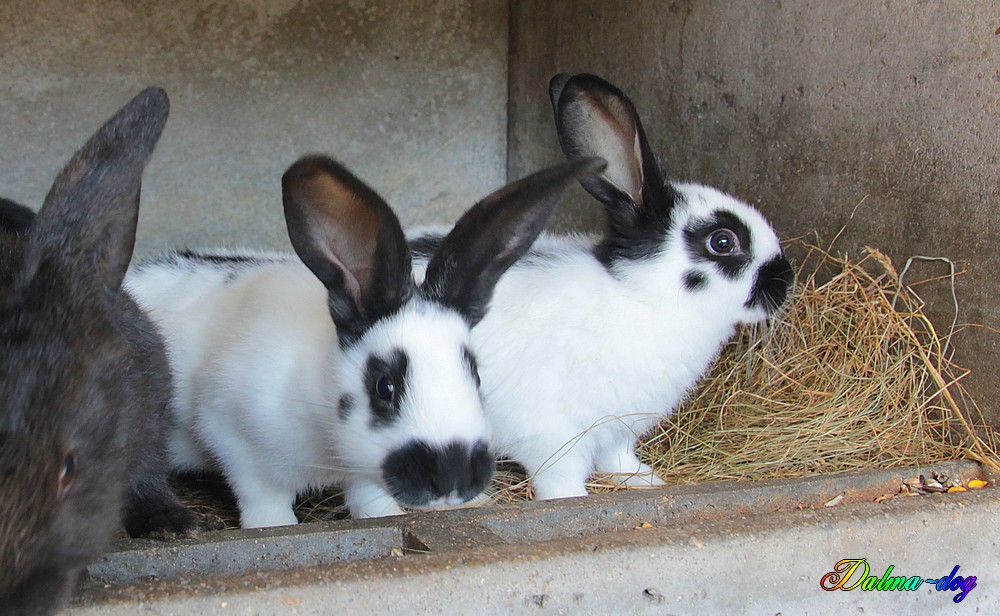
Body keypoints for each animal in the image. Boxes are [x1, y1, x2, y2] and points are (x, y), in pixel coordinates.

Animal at [408, 74, 796, 502]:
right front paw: (571, 499)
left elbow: (618, 458)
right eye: (723, 242)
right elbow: (560, 475)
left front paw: (646, 480)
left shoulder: (619, 428)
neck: (644, 298)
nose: (786, 278)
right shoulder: (553, 434)